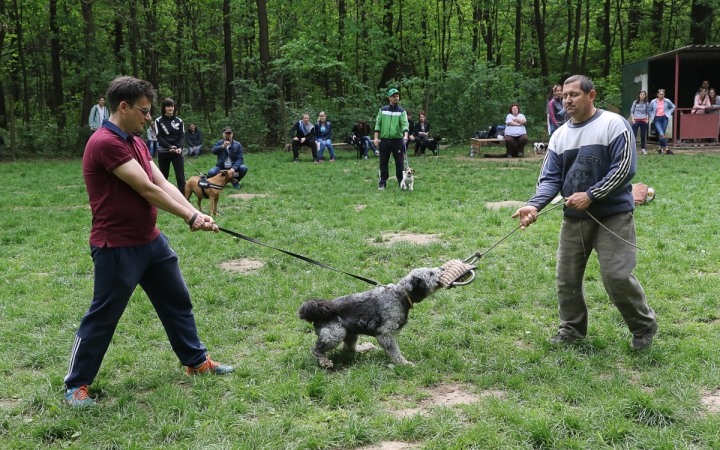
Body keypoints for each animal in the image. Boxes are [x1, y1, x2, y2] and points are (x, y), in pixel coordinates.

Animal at [298, 268, 444, 370]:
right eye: (431, 273)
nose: (442, 269)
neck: (399, 295)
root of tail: (317, 313)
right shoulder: (385, 334)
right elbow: (395, 352)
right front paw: (403, 363)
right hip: (335, 334)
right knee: (316, 350)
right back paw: (324, 362)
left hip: (351, 333)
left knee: (349, 348)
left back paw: (364, 347)